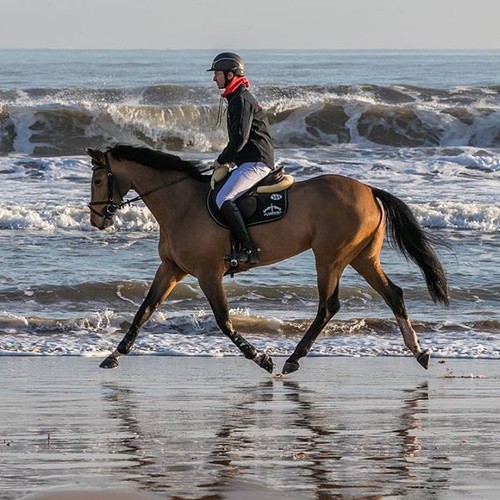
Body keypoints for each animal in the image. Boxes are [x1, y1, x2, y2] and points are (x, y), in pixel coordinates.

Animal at [86, 143, 450, 374]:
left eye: (99, 179)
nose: (96, 220)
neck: (181, 204)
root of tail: (369, 190)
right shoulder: (172, 269)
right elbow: (143, 311)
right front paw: (114, 355)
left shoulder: (208, 273)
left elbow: (224, 321)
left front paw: (261, 358)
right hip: (362, 257)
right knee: (393, 294)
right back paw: (419, 351)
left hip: (330, 258)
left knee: (328, 306)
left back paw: (293, 359)